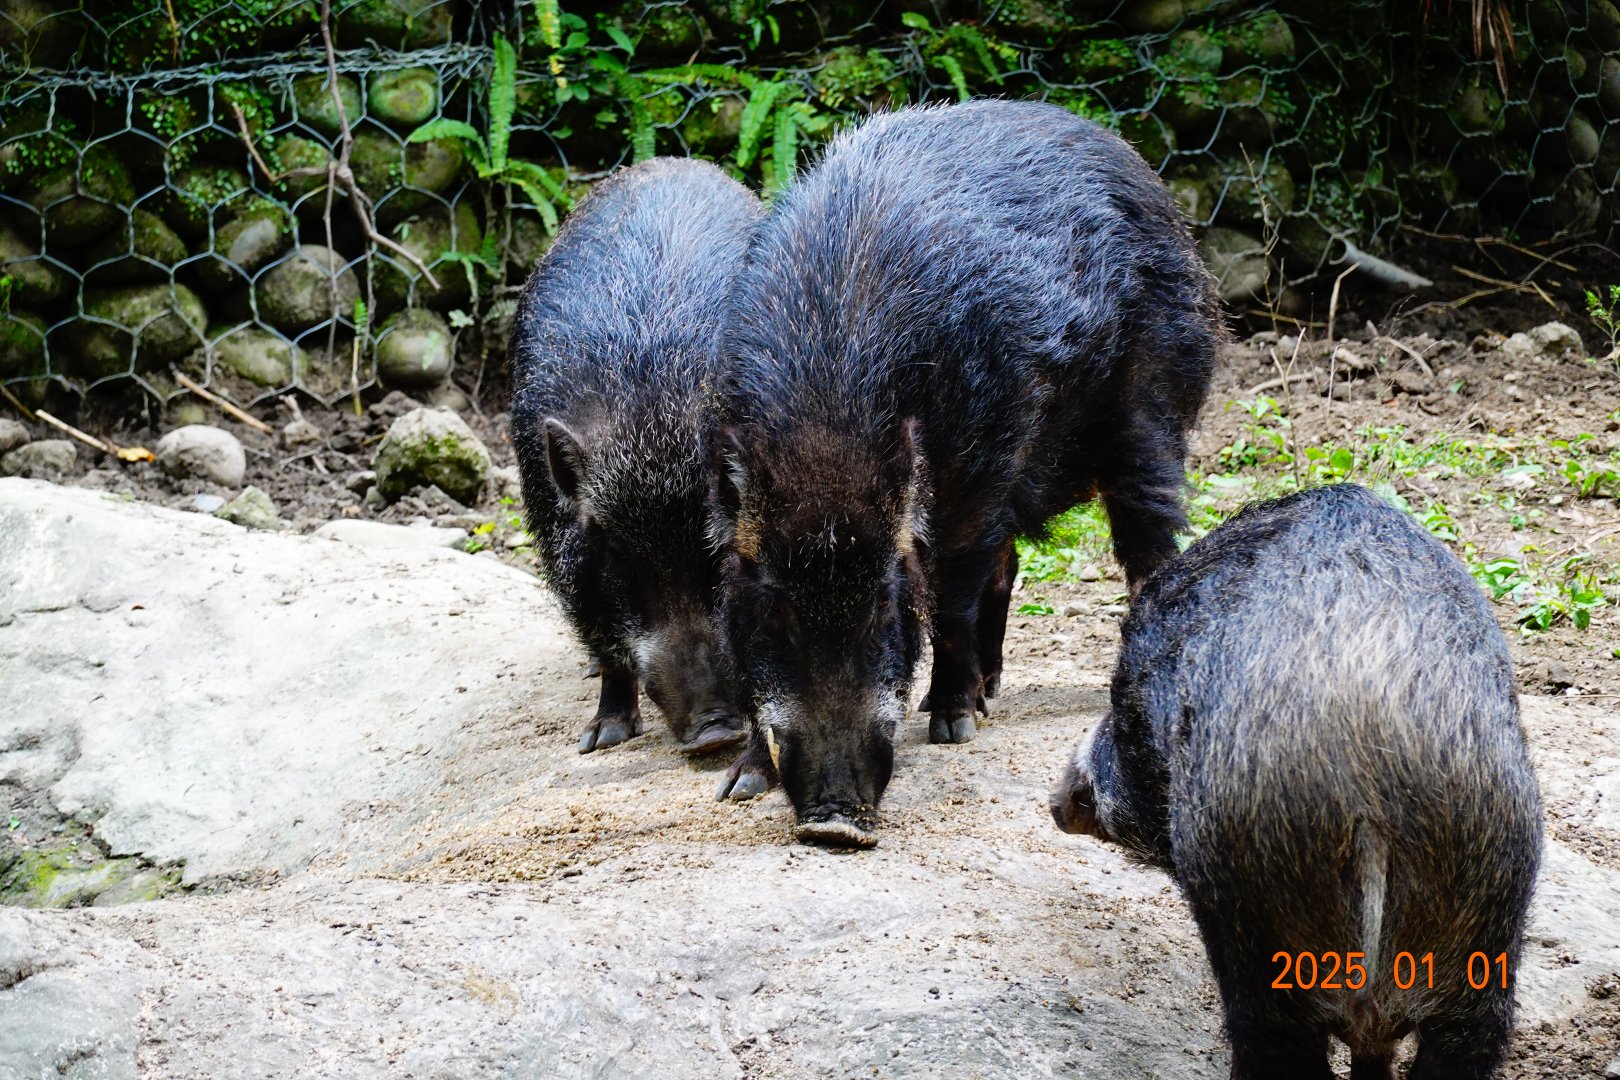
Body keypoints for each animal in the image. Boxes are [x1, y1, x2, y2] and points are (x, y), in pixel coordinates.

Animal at [709, 100, 1221, 844]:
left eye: (884, 602)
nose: (835, 823)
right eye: (775, 604)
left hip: (1151, 404)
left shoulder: (977, 462)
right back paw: (988, 693)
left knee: (1145, 536)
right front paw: (740, 786)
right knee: (1008, 565)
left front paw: (952, 729)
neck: (828, 426)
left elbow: (949, 596)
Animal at [1052, 483, 1543, 1080]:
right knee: (1459, 1042)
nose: (1058, 802)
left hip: (1255, 909)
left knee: (1276, 1042)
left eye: (1117, 705)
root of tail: (1367, 773)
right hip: (1487, 910)